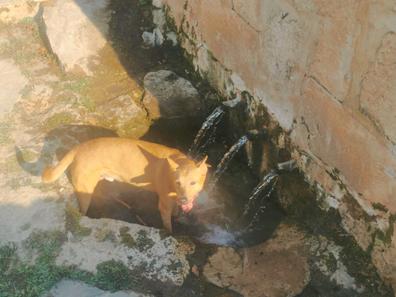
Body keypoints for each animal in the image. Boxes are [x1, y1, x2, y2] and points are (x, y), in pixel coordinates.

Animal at [42, 136, 210, 231]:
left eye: (193, 183)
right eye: (178, 182)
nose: (184, 200)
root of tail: (79, 147)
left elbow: (175, 211)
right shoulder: (164, 206)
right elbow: (168, 226)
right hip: (85, 193)